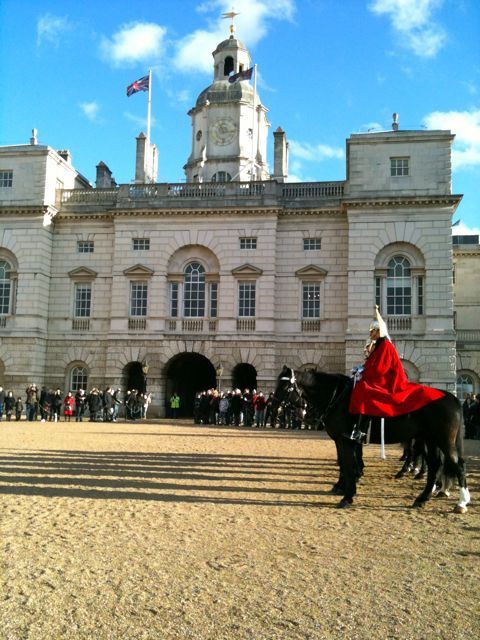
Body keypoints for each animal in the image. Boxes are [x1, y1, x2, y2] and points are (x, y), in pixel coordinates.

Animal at [273, 366, 470, 512]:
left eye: (285, 387)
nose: (276, 409)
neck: (338, 398)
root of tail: (452, 397)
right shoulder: (342, 440)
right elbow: (344, 463)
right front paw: (342, 486)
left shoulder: (347, 440)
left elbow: (348, 465)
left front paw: (348, 495)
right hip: (430, 440)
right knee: (435, 465)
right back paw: (422, 498)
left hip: (443, 441)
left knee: (457, 465)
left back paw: (461, 502)